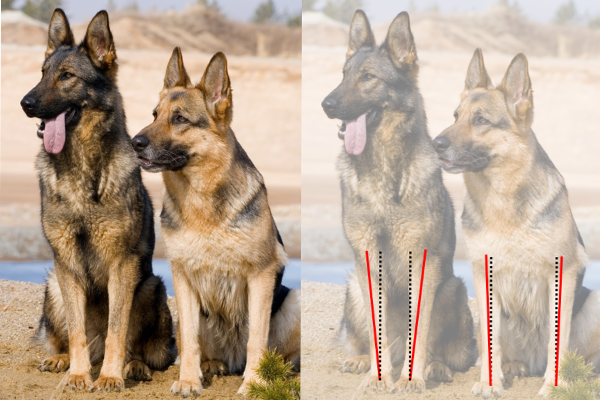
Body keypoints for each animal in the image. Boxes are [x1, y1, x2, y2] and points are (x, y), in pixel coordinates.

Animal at [19, 8, 175, 390]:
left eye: (67, 76)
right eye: (42, 73)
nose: (25, 103)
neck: (81, 168)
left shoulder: (122, 265)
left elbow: (118, 328)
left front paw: (109, 377)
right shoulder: (66, 265)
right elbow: (77, 331)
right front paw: (78, 374)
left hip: (150, 287)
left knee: (131, 344)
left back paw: (131, 366)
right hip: (53, 286)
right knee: (77, 340)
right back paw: (63, 360)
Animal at [131, 48, 300, 396]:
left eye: (180, 119)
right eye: (155, 114)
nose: (134, 142)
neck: (202, 207)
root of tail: (231, 359)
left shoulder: (261, 275)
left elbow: (257, 339)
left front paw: (255, 383)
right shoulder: (182, 276)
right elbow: (190, 341)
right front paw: (189, 381)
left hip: (293, 301)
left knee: (275, 352)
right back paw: (210, 365)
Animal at [322, 10, 476, 394]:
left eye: (368, 78)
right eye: (343, 75)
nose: (326, 104)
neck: (383, 169)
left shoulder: (422, 263)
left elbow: (420, 332)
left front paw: (411, 378)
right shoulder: (366, 261)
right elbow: (377, 329)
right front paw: (379, 377)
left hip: (451, 289)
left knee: (439, 347)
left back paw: (434, 368)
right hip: (354, 287)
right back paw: (363, 361)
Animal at [434, 47, 600, 396]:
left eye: (481, 120)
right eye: (455, 116)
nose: (435, 143)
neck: (504, 206)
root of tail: (532, 361)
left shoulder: (563, 274)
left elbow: (558, 340)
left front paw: (555, 386)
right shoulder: (483, 276)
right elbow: (490, 343)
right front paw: (490, 383)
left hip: (594, 303)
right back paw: (510, 368)